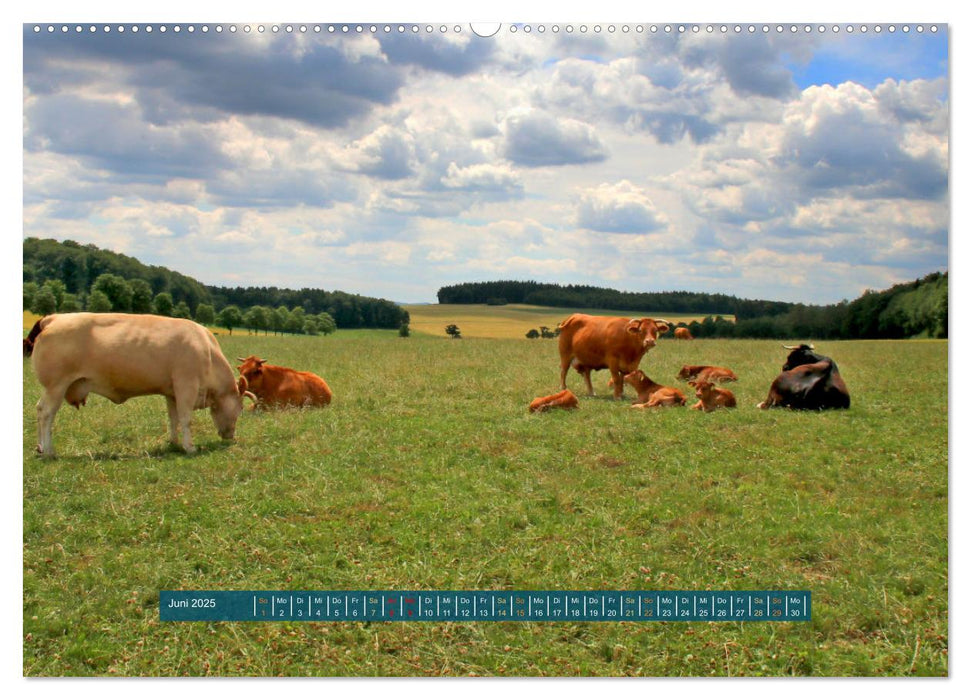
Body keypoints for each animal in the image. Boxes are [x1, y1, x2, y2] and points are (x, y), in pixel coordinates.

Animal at [25, 310, 254, 454]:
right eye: (241, 408)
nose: (231, 436)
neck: (207, 351)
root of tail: (54, 318)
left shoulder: (171, 392)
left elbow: (174, 419)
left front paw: (173, 442)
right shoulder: (186, 386)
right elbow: (186, 419)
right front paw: (190, 447)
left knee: (40, 410)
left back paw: (40, 447)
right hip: (56, 385)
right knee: (46, 413)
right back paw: (48, 450)